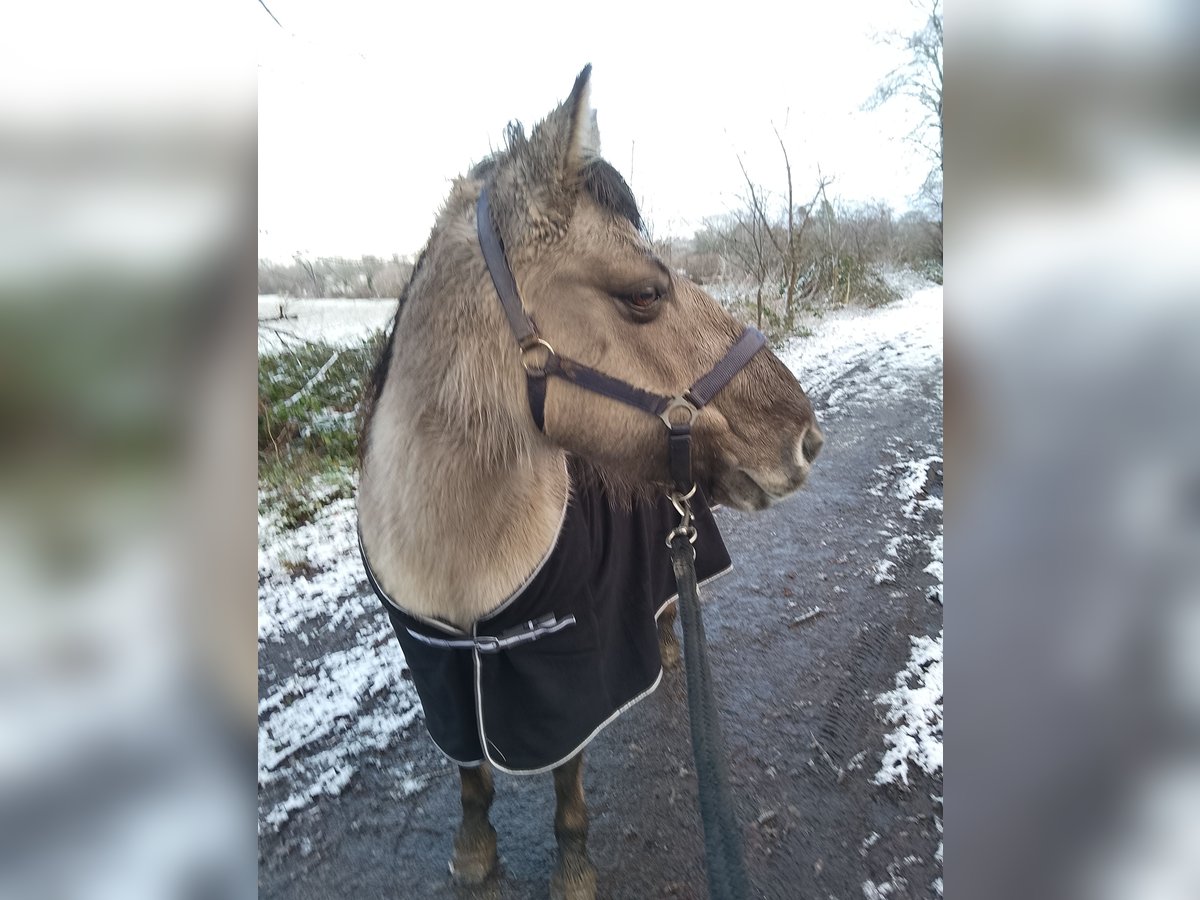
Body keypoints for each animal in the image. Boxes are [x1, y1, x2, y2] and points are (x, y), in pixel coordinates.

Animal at [360, 65, 820, 900]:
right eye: (643, 292)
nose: (804, 437)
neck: (457, 558)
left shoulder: (566, 676)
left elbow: (566, 782)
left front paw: (572, 867)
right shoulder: (446, 678)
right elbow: (471, 779)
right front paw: (475, 851)